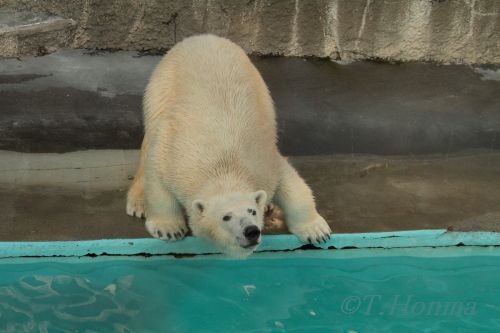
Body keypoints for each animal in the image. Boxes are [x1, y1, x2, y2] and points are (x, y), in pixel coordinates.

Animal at [128, 34, 332, 256]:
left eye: (251, 211)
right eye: (226, 217)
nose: (251, 231)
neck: (224, 165)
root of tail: (202, 37)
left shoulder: (264, 162)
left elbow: (291, 183)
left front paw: (317, 231)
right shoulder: (174, 158)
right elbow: (157, 180)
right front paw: (169, 229)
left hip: (261, 87)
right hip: (160, 89)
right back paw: (138, 203)